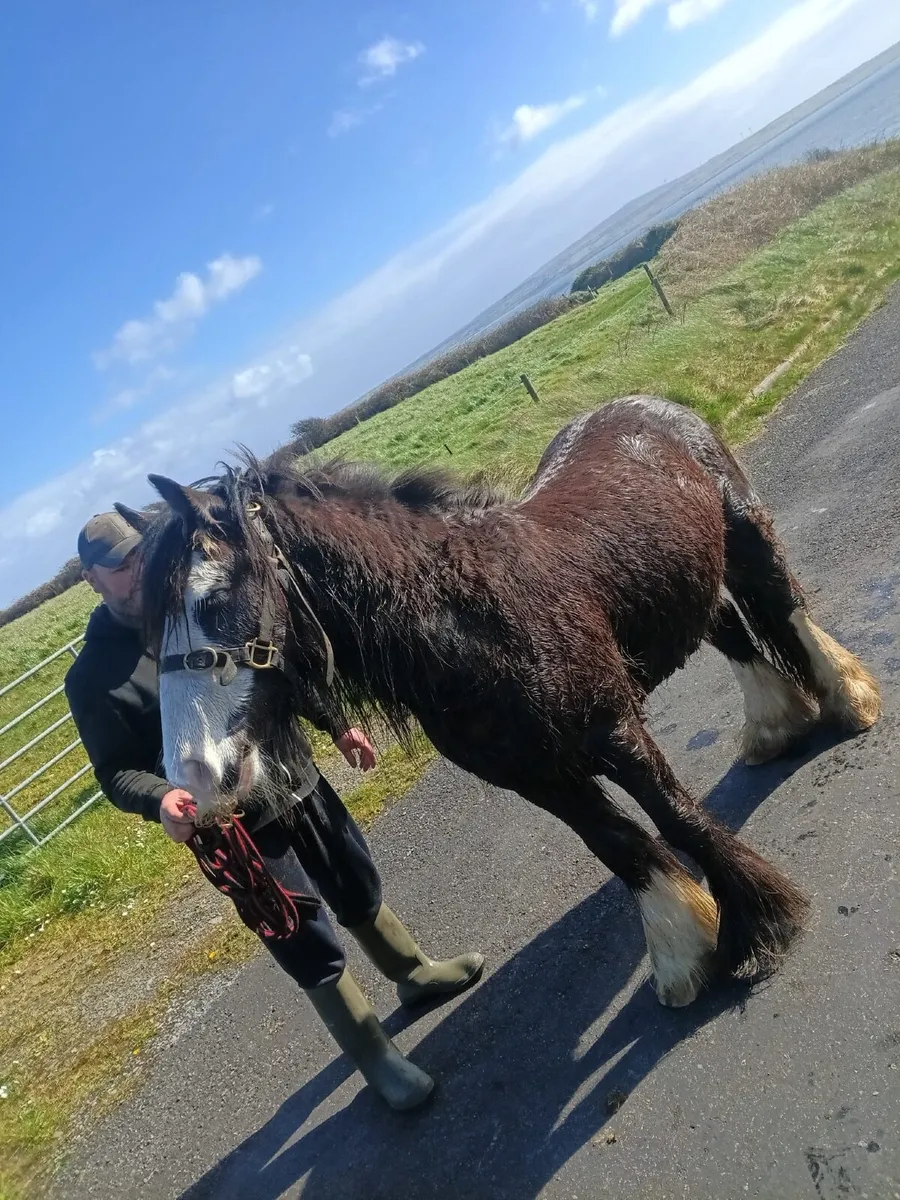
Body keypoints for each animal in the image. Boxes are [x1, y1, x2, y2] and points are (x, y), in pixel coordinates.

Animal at [131, 394, 881, 1009]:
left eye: (214, 599)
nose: (196, 775)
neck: (468, 619)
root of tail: (648, 405)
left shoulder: (613, 729)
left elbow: (678, 820)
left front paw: (761, 928)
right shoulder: (537, 777)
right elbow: (620, 846)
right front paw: (683, 954)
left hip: (746, 530)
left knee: (786, 612)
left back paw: (849, 702)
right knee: (732, 629)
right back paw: (776, 726)